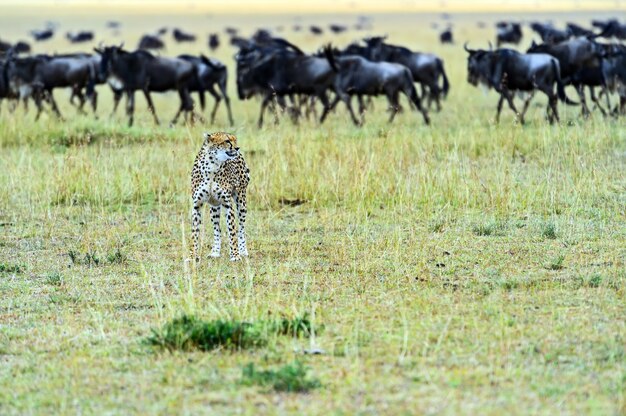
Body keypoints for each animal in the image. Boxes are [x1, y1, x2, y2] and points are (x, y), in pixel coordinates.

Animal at [190, 132, 249, 262]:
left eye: (235, 140)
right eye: (227, 141)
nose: (237, 148)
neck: (212, 165)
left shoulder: (227, 204)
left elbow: (232, 230)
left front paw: (235, 255)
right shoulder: (197, 205)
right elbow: (194, 233)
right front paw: (192, 255)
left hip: (241, 201)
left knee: (241, 228)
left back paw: (243, 251)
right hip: (214, 208)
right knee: (217, 229)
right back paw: (215, 252)